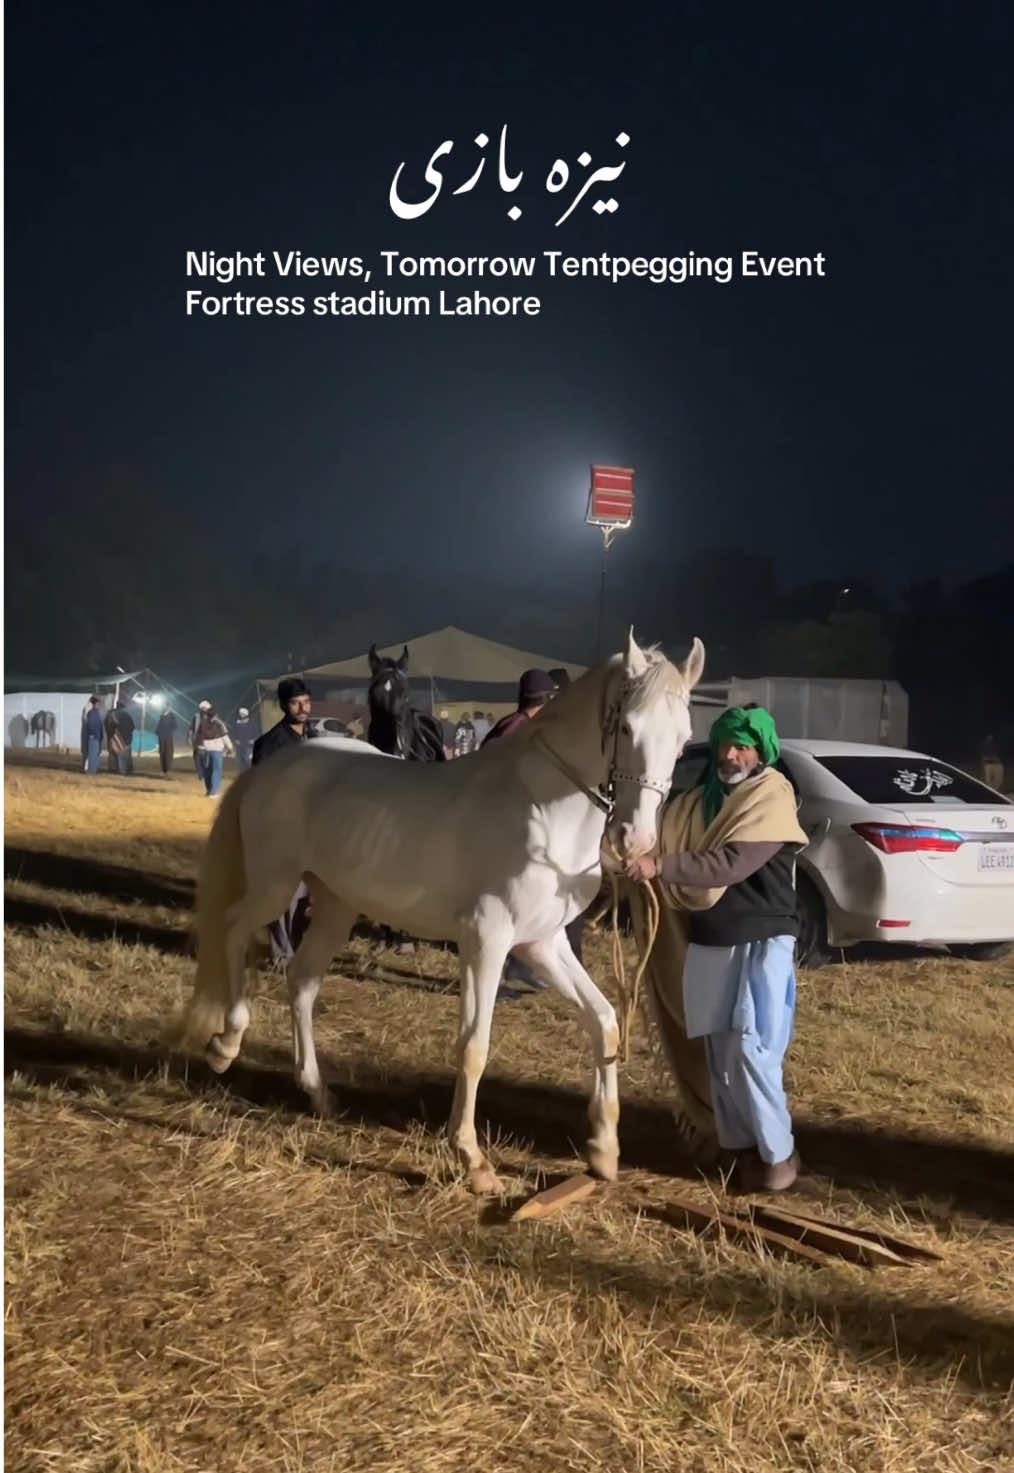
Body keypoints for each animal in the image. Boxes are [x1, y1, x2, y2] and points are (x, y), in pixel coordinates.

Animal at [173, 630, 704, 1184]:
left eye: (684, 738)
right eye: (626, 726)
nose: (635, 841)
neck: (540, 810)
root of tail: (272, 767)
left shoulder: (542, 942)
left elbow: (604, 1024)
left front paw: (602, 1149)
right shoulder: (486, 942)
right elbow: (474, 1046)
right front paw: (471, 1157)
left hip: (337, 905)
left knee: (302, 980)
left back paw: (317, 1092)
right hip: (275, 885)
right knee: (235, 930)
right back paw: (225, 1045)